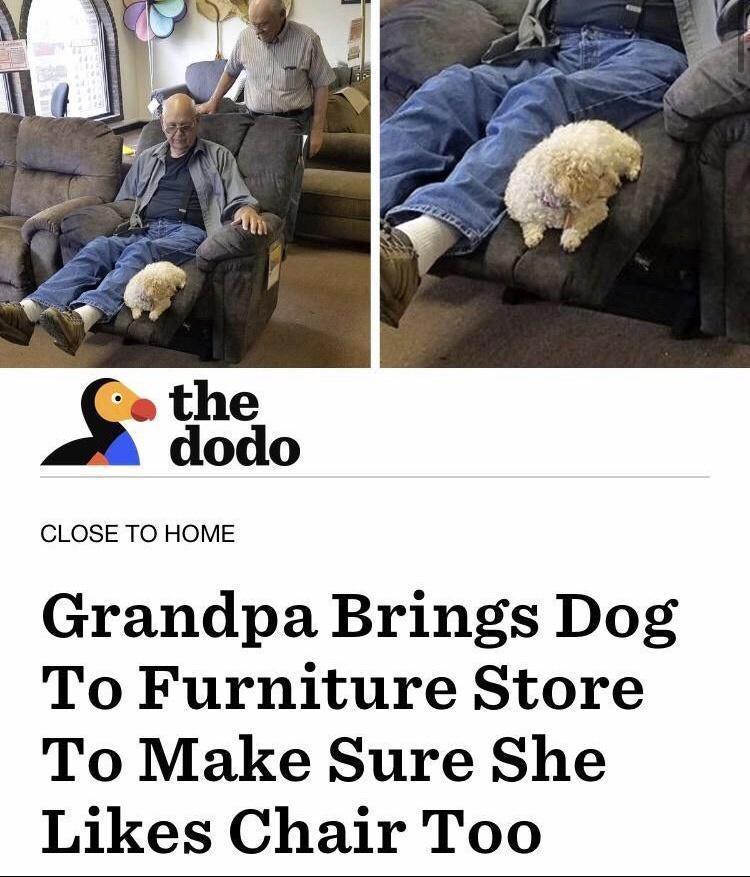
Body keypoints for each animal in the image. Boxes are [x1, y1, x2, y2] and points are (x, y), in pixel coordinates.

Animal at [508, 119, 644, 253]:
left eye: (605, 170)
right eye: (601, 175)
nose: (618, 186)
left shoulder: (596, 209)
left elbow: (579, 222)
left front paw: (570, 237)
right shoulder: (520, 209)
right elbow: (528, 222)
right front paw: (532, 236)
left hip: (618, 155)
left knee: (635, 151)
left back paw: (633, 169)